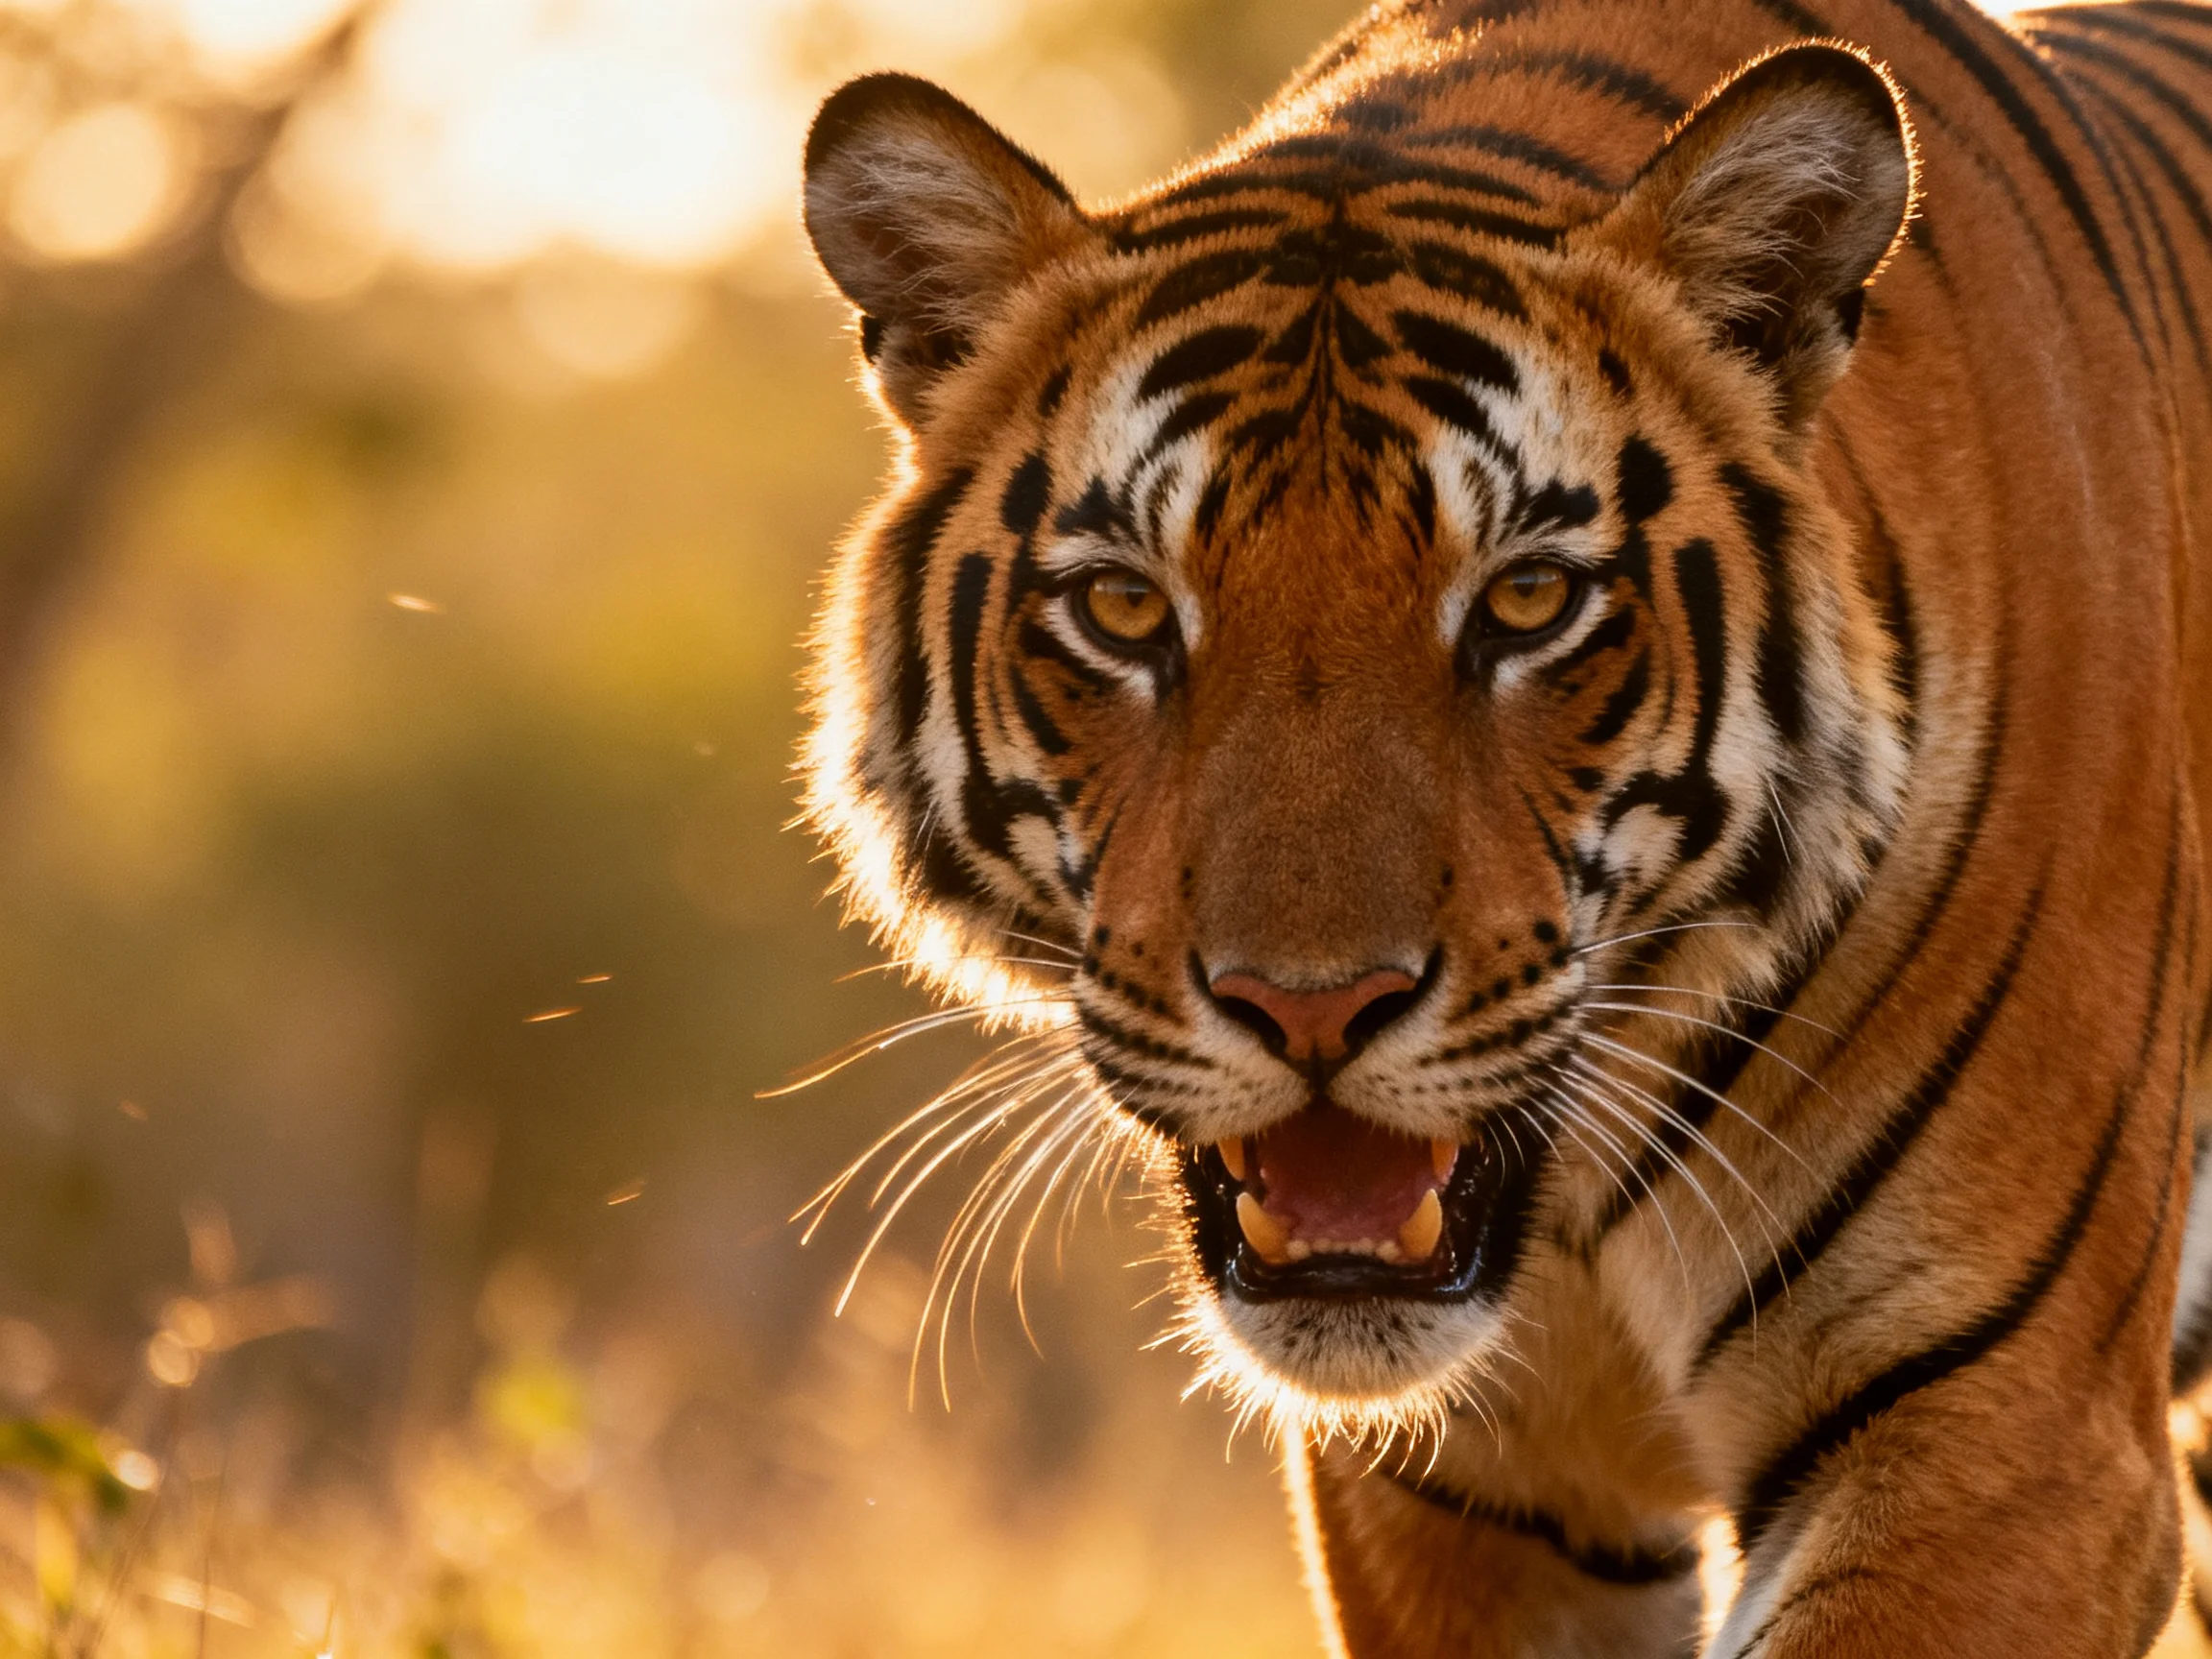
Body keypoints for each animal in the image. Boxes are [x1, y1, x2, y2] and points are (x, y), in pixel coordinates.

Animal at [795, 0, 2212, 1651]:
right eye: (1125, 609)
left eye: (1529, 600)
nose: (1312, 1008)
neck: (1575, 1208)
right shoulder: (1467, 1500)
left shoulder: (1999, 1426)